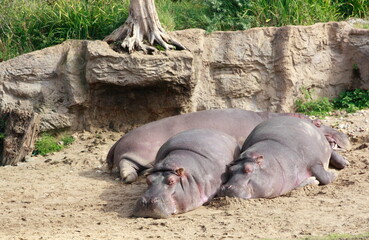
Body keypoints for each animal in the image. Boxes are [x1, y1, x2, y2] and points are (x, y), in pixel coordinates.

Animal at [106, 108, 348, 183]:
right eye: (318, 122)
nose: (344, 136)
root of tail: (116, 142)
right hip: (138, 151)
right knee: (126, 166)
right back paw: (130, 177)